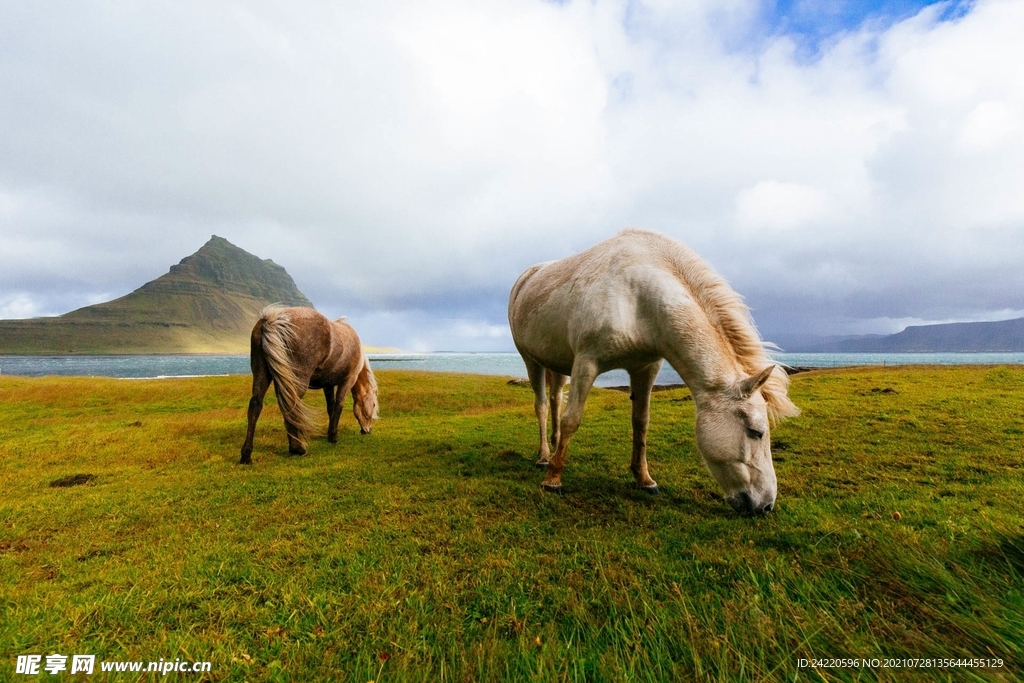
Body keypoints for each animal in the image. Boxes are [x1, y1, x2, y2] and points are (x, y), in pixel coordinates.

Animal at [239, 306, 378, 464]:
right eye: (373, 404)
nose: (368, 430)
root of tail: (273, 319)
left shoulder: (328, 385)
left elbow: (331, 408)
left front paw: (329, 434)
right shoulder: (347, 380)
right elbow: (338, 406)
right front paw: (333, 437)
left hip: (262, 374)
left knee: (256, 405)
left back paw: (246, 455)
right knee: (291, 406)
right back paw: (297, 448)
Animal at [508, 229, 799, 515]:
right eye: (756, 432)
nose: (766, 505)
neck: (638, 297)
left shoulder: (646, 368)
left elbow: (641, 423)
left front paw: (644, 479)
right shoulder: (586, 363)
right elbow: (572, 419)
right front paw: (553, 481)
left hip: (558, 365)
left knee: (556, 400)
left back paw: (555, 447)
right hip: (531, 360)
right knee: (543, 405)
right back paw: (545, 457)